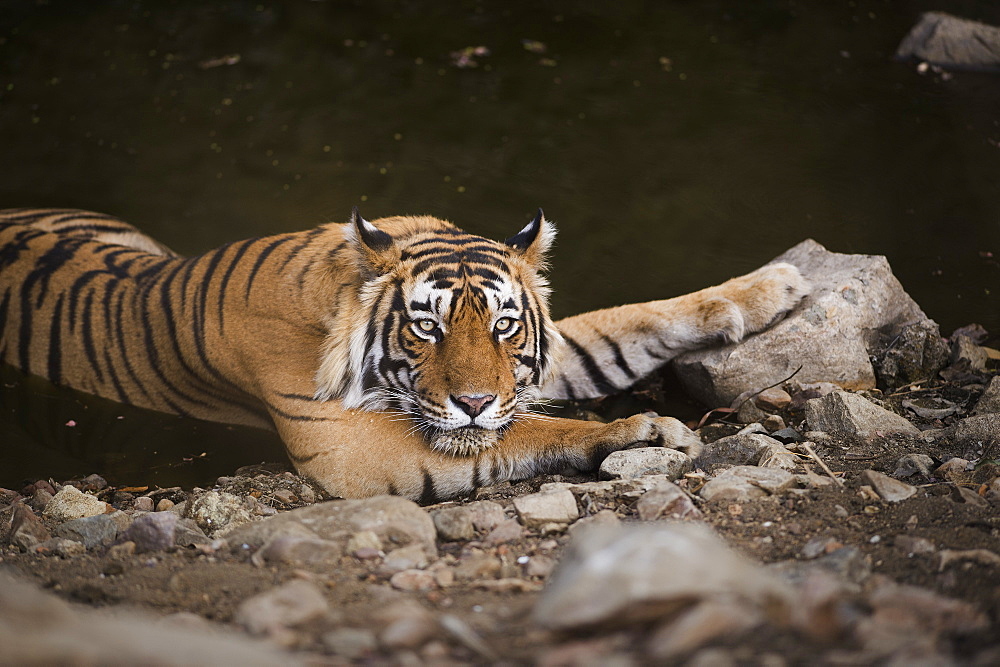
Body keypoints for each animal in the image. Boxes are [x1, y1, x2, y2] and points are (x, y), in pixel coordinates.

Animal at [0, 209, 804, 500]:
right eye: (426, 327)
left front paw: (774, 286)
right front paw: (638, 429)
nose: (474, 401)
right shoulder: (347, 447)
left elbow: (630, 320)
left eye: (505, 326)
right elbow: (534, 430)